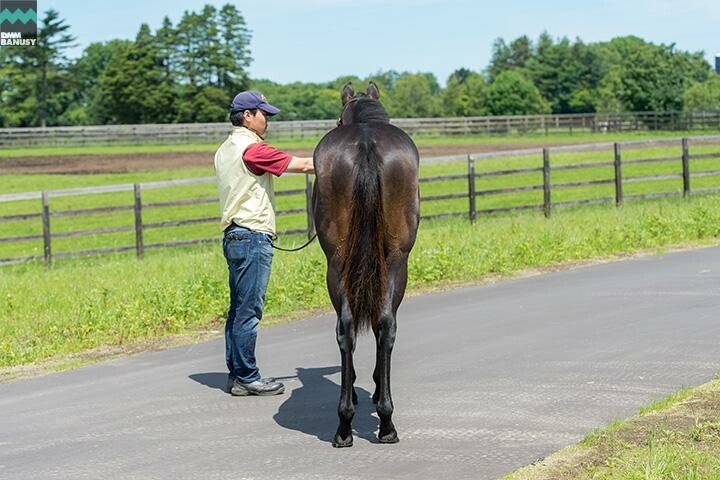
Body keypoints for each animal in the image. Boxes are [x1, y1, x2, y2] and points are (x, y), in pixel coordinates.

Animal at [312, 81, 420, 446]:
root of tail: (365, 144)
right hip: (394, 263)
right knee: (383, 325)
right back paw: (380, 420)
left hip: (340, 265)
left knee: (351, 327)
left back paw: (350, 424)